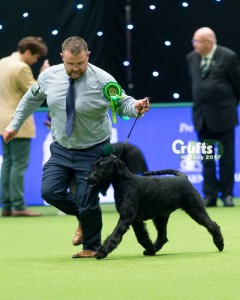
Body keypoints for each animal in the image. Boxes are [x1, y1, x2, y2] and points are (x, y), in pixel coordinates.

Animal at [87, 156, 224, 258]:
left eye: (100, 167)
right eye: (94, 165)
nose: (88, 178)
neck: (125, 182)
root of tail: (184, 178)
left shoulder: (126, 218)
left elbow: (114, 236)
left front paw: (101, 253)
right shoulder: (136, 221)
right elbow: (142, 237)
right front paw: (150, 249)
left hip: (196, 210)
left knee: (212, 225)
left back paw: (220, 244)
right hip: (160, 218)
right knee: (162, 237)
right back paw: (153, 248)